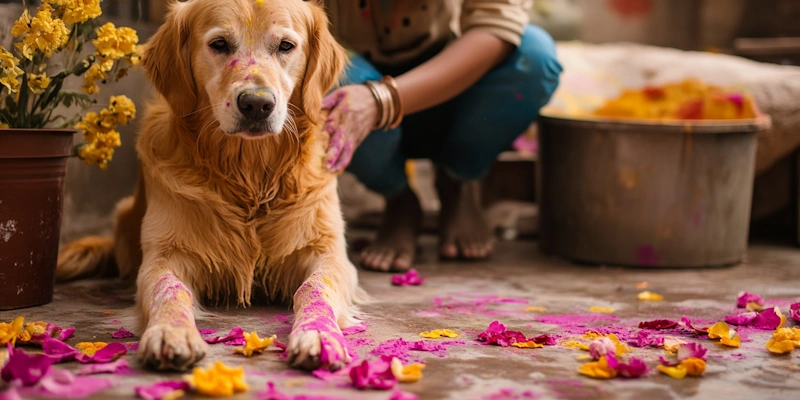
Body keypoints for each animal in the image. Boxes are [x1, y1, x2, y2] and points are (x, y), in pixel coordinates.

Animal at [57, 0, 366, 372]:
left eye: (285, 46)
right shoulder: (165, 254)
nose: (257, 104)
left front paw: (318, 334)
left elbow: (315, 287)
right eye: (219, 44)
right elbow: (168, 288)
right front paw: (170, 333)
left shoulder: (328, 251)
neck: (249, 177)